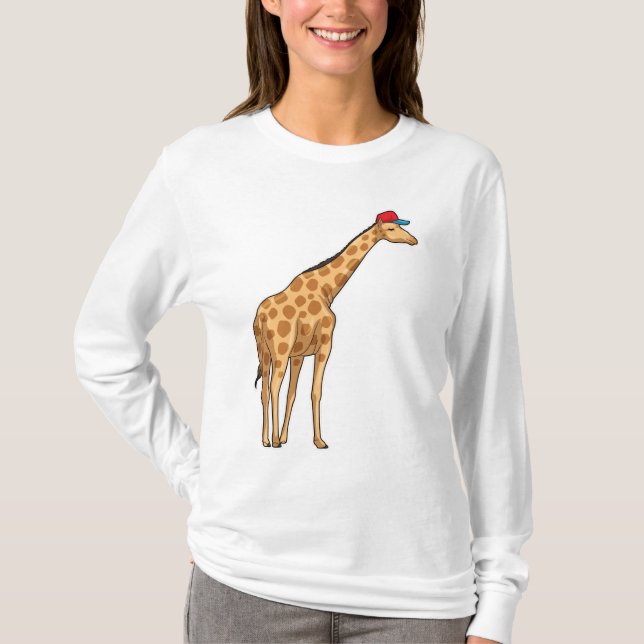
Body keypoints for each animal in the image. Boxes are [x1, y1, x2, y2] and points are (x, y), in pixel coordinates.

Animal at [253, 211, 418, 449]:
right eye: (392, 228)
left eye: (401, 225)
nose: (414, 240)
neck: (327, 289)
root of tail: (261, 316)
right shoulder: (325, 343)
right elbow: (315, 391)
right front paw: (319, 441)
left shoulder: (298, 355)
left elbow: (292, 393)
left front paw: (285, 437)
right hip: (279, 351)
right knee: (274, 387)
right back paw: (273, 441)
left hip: (264, 352)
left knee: (265, 390)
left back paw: (266, 440)